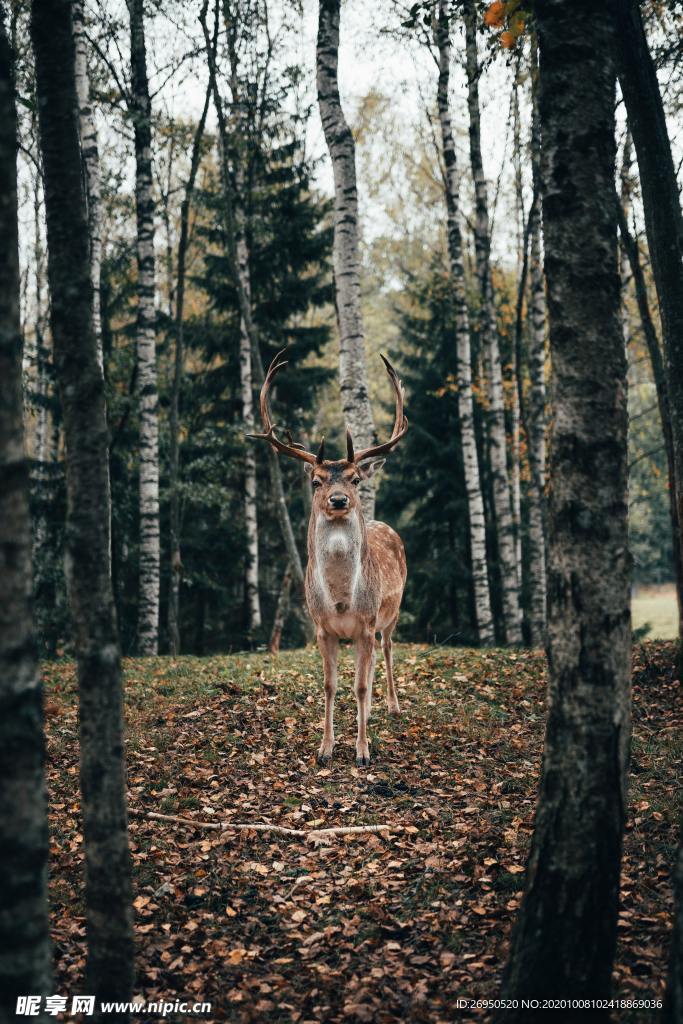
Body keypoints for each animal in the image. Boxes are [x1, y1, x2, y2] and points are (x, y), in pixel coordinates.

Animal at [248, 350, 405, 761]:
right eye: (315, 480)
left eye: (355, 478)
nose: (338, 499)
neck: (339, 599)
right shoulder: (322, 628)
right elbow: (331, 686)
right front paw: (326, 748)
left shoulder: (365, 624)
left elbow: (360, 687)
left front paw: (363, 751)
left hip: (390, 614)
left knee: (387, 650)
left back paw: (393, 706)